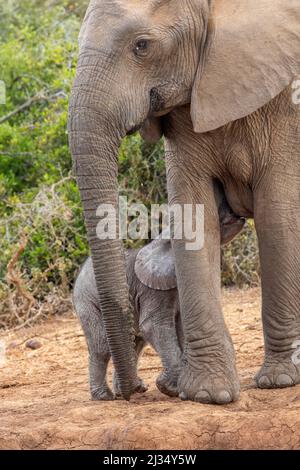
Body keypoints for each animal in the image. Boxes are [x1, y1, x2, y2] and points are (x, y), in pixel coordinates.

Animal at [73, 195, 244, 400]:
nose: (235, 212)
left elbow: (180, 329)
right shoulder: (152, 290)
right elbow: (154, 326)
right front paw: (170, 388)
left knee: (134, 343)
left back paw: (134, 389)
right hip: (87, 301)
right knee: (102, 346)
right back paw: (105, 396)